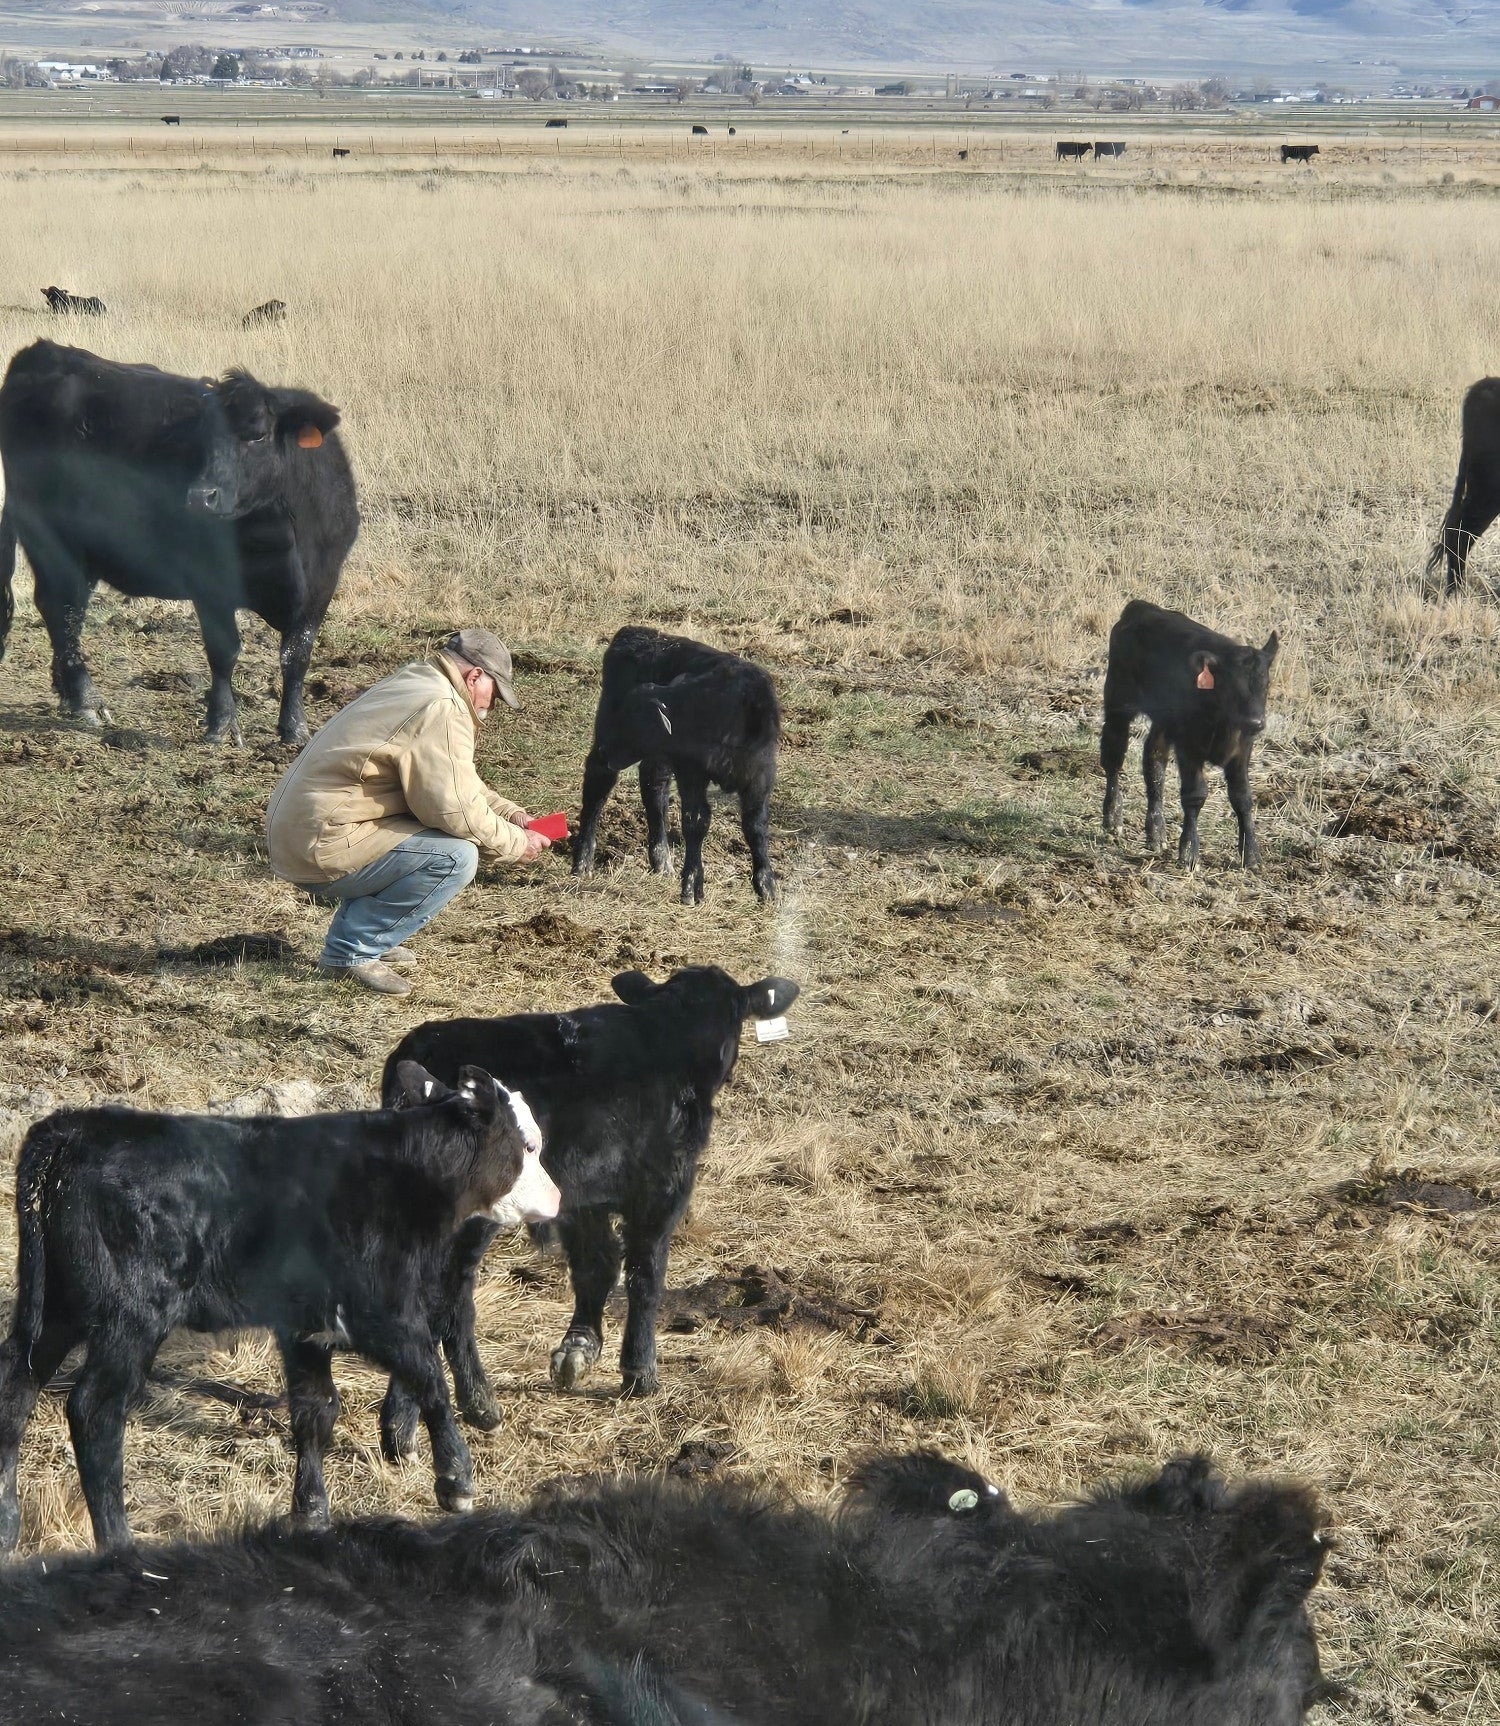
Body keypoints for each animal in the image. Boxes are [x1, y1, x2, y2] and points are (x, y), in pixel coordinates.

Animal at [0, 340, 359, 745]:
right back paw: (85, 699)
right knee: (60, 610)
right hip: (50, 539)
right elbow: (224, 651)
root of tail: (43, 352)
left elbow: (296, 655)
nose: (201, 497)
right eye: (204, 437)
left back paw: (67, 693)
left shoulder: (321, 584)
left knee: (67, 611)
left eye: (258, 434)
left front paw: (295, 728)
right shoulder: (209, 581)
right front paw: (222, 724)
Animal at [0, 1065, 559, 1552]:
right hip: (130, 1319)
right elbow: (429, 1379)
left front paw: (310, 1513)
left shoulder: (305, 1328)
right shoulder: (383, 1311)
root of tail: (73, 1128)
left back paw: (8, 1526)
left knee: (16, 1390)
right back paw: (118, 1544)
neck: (402, 1178)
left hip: (56, 1310)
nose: (555, 1197)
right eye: (529, 1145)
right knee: (94, 1410)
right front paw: (455, 1480)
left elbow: (316, 1411)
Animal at [376, 965, 800, 1458]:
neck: (673, 1034)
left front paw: (578, 1349)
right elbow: (645, 1272)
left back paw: (404, 1426)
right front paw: (640, 1373)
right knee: (447, 1296)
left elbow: (595, 1265)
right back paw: (465, 1409)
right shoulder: (663, 1188)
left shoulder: (582, 1198)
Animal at [572, 625, 781, 905]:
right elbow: (696, 821)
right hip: (604, 741)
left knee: (654, 789)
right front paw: (692, 886)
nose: (608, 749)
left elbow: (755, 826)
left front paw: (767, 887)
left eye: (635, 721)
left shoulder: (760, 778)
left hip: (655, 758)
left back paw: (662, 863)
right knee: (597, 787)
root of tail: (633, 633)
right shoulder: (691, 773)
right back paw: (582, 862)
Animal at [1101, 600, 1279, 869]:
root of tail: (1141, 608)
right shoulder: (1188, 745)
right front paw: (1188, 853)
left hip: (1163, 721)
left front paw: (1251, 856)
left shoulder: (1242, 750)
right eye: (1232, 686)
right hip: (1118, 701)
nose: (1256, 722)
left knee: (1154, 763)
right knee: (1113, 755)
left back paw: (1156, 833)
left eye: (1265, 684)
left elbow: (1242, 797)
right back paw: (1113, 820)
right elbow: (1195, 795)